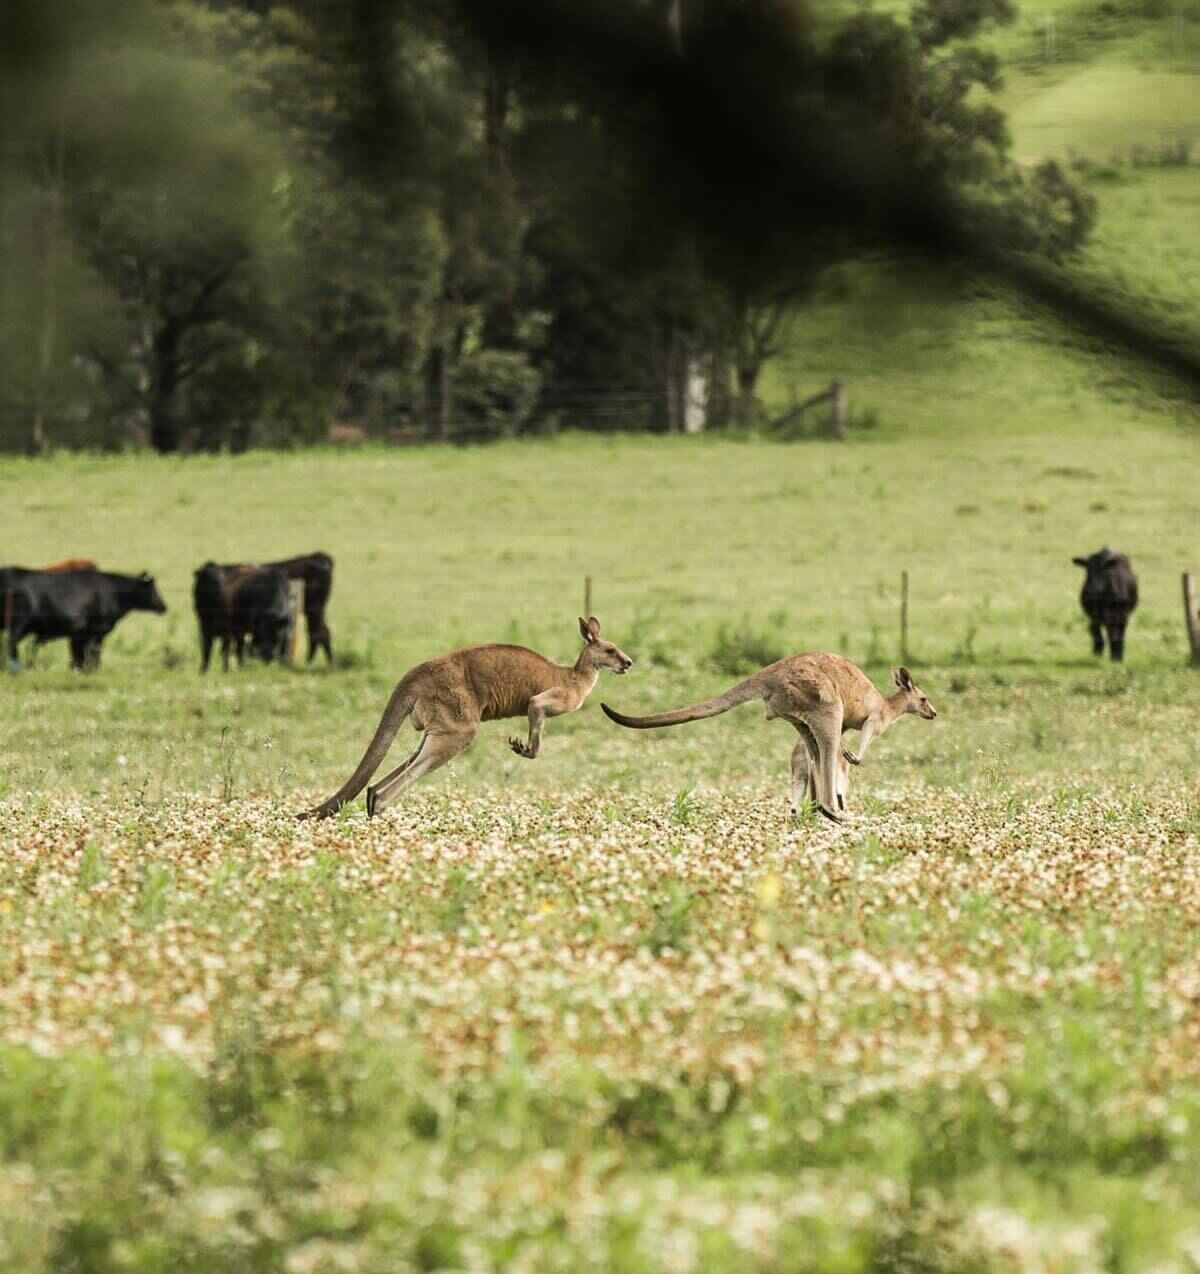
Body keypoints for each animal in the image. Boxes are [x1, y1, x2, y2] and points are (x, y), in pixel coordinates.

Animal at [2, 569, 167, 670]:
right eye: (153, 589)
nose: (164, 606)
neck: (114, 593)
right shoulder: (92, 633)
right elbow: (91, 654)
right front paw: (89, 670)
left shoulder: (81, 635)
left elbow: (81, 656)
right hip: (19, 626)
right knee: (11, 645)